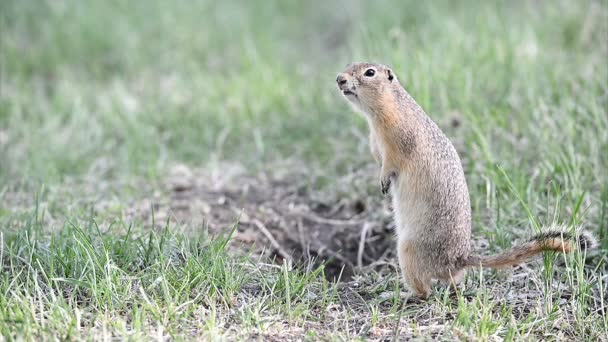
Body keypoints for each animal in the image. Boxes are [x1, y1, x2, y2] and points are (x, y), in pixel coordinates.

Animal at [338, 62, 600, 300]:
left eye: (370, 72)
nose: (339, 79)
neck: (378, 114)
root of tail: (459, 258)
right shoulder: (375, 143)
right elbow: (378, 157)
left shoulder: (399, 139)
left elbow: (391, 162)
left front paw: (383, 181)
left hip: (408, 252)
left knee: (425, 291)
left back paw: (402, 295)